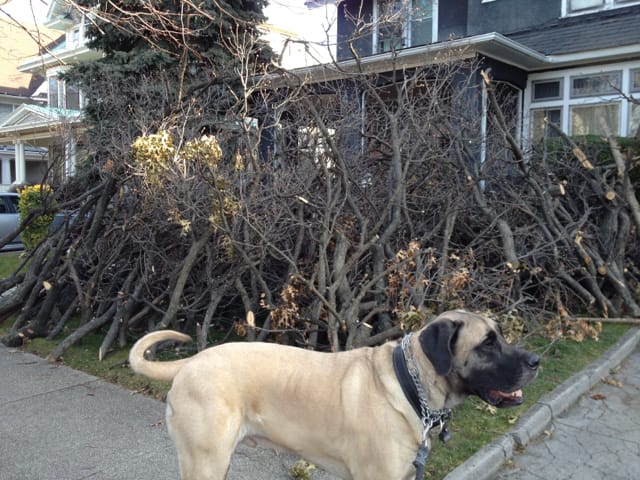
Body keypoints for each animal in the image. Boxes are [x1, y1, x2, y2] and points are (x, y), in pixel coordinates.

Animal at [130, 310, 540, 478]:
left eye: (501, 336)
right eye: (487, 344)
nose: (536, 360)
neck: (412, 383)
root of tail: (193, 360)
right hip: (206, 461)